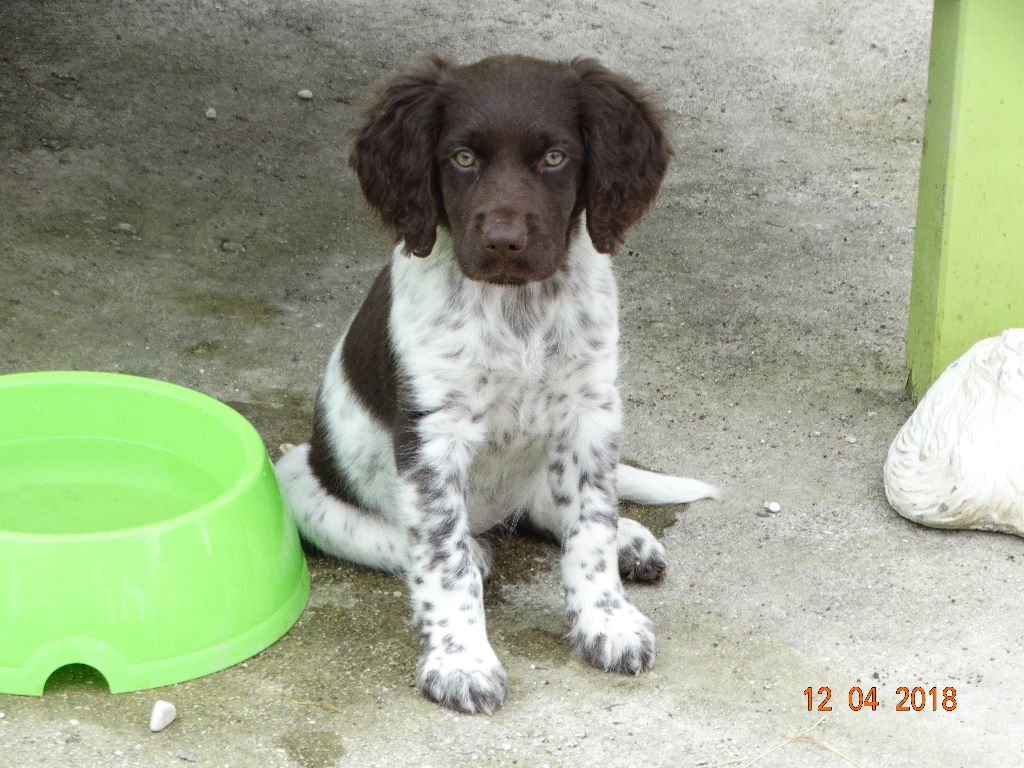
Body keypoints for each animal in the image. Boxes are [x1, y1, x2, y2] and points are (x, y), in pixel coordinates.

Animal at [276, 55, 716, 716]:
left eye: (556, 158)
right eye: (462, 158)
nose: (505, 241)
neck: (517, 308)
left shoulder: (590, 413)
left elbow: (591, 526)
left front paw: (606, 621)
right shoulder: (433, 437)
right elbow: (443, 560)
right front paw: (460, 661)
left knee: (556, 509)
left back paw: (630, 541)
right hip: (301, 482)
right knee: (423, 543)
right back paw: (478, 550)